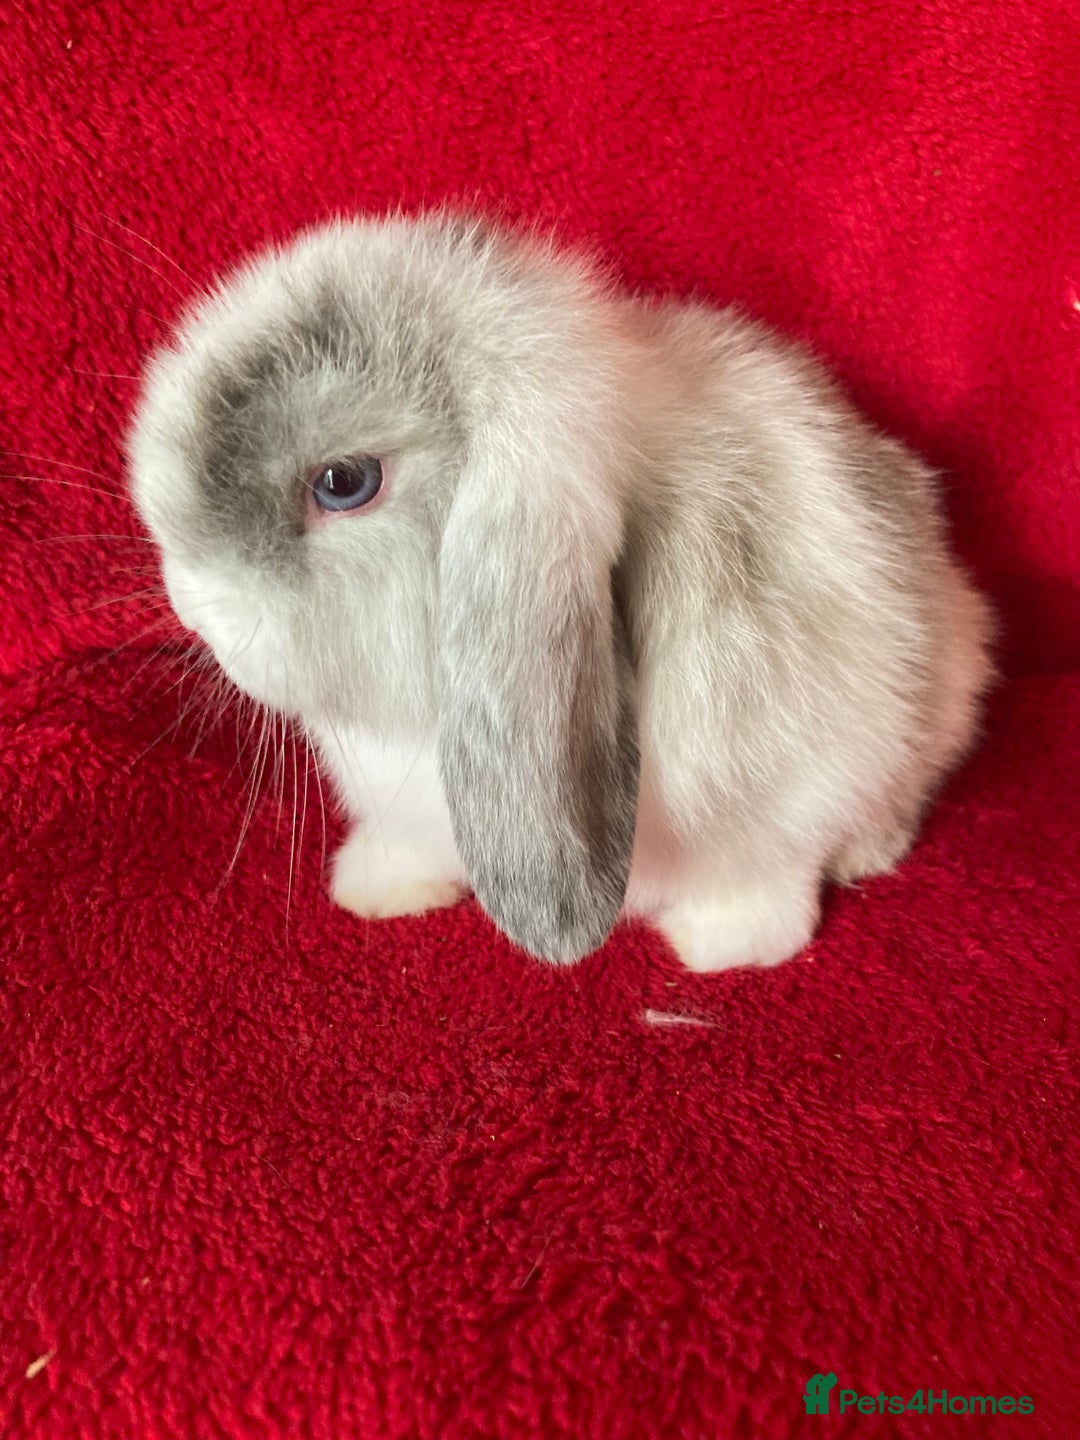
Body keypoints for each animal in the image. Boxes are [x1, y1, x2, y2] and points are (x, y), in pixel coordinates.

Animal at [127, 212, 994, 972]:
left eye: (344, 483)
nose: (192, 610)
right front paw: (374, 890)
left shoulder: (790, 791)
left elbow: (763, 875)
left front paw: (726, 945)